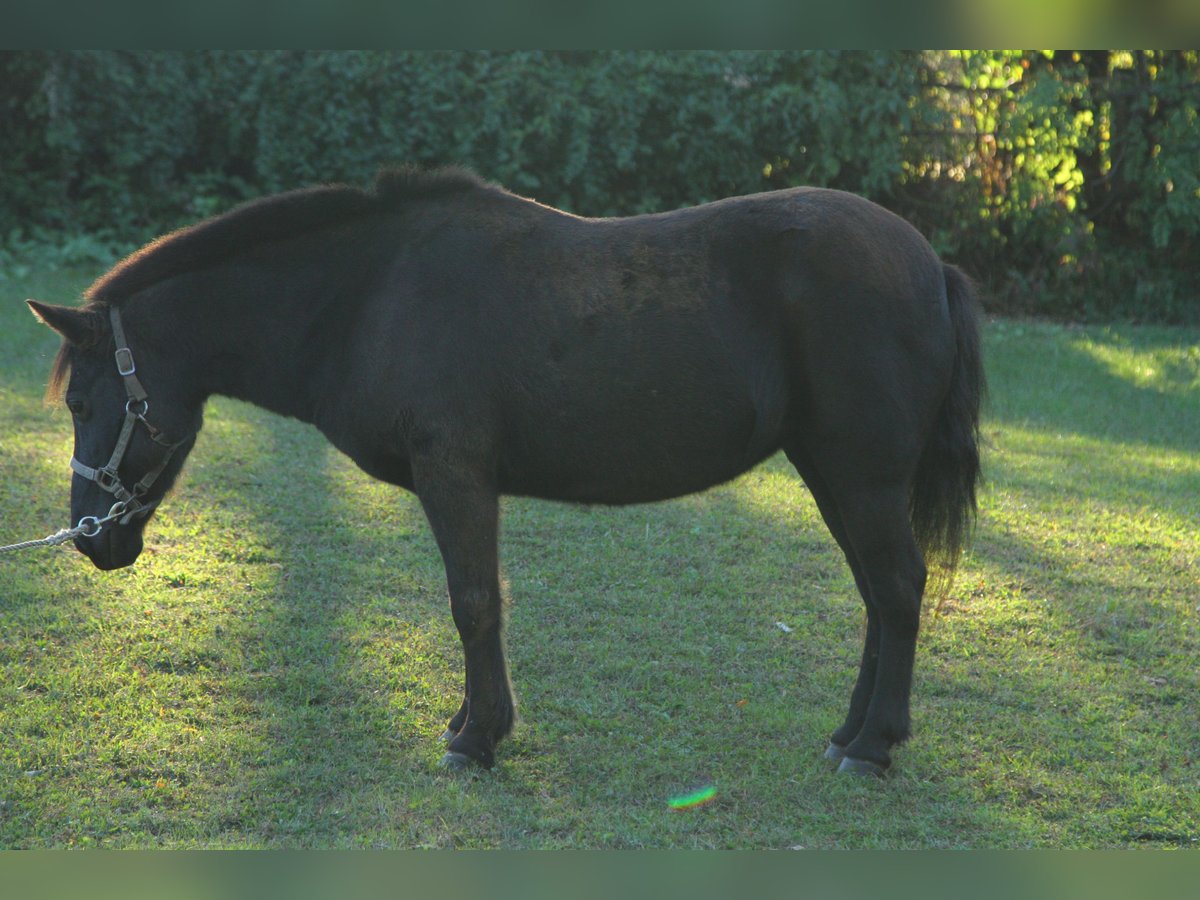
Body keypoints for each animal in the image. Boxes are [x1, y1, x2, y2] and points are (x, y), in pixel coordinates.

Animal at [27, 166, 984, 776]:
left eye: (85, 404)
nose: (91, 541)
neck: (371, 294)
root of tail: (931, 262)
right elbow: (477, 604)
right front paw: (471, 724)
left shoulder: (455, 475)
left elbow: (474, 602)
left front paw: (476, 739)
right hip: (832, 473)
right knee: (879, 596)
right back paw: (852, 734)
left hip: (860, 478)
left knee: (898, 589)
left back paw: (871, 746)